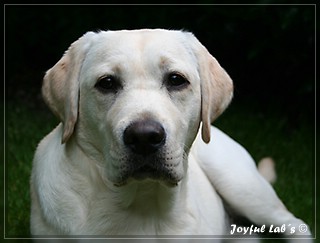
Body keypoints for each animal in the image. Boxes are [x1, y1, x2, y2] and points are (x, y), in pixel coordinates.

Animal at [29, 29, 310, 240]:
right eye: (106, 83)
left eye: (176, 80)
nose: (144, 137)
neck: (141, 204)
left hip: (241, 185)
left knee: (296, 224)